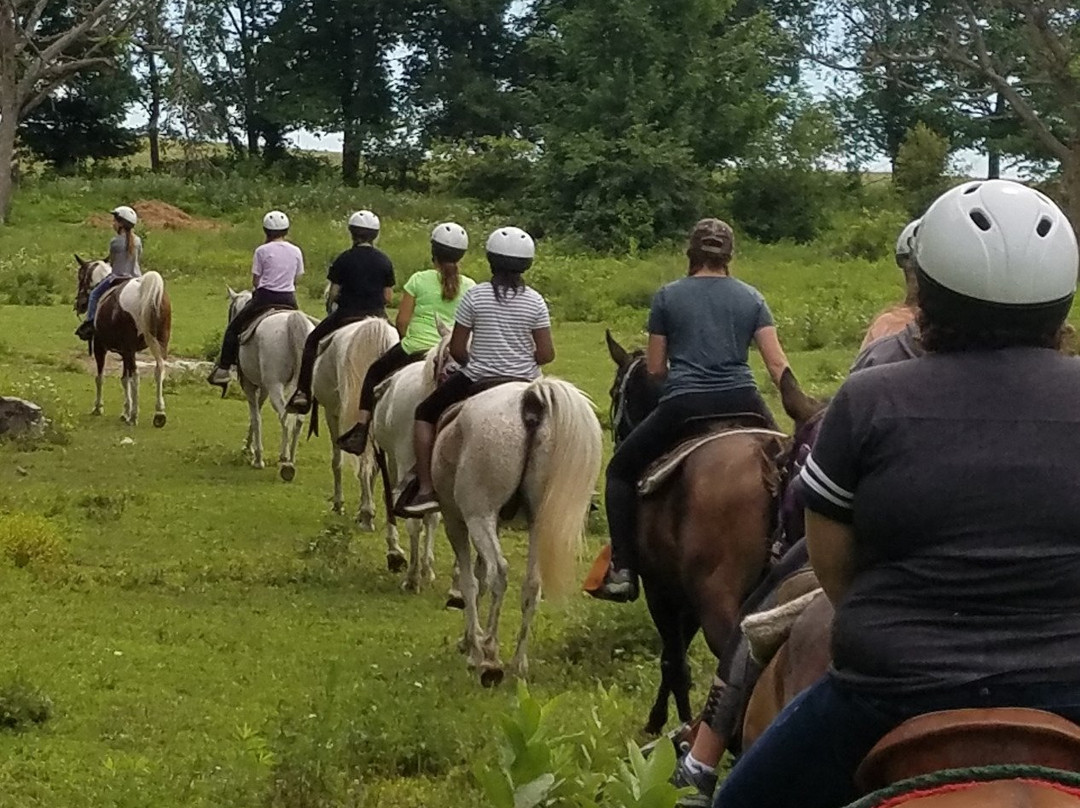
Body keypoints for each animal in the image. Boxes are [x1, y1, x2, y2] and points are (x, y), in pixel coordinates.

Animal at [75, 257, 171, 429]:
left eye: (81, 277)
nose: (79, 304)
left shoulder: (101, 347)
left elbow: (100, 377)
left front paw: (98, 407)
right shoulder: (125, 352)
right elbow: (124, 379)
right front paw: (125, 411)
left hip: (129, 349)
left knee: (136, 375)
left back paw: (134, 416)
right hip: (160, 344)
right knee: (159, 370)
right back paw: (159, 413)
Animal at [224, 289, 315, 479]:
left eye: (232, 310)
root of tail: (293, 319)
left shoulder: (249, 385)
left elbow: (255, 416)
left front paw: (257, 458)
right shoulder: (264, 387)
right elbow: (256, 412)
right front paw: (248, 447)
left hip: (275, 387)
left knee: (285, 418)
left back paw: (285, 461)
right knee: (298, 420)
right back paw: (291, 458)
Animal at [427, 375, 600, 687]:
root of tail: (531, 399)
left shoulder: (455, 520)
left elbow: (470, 582)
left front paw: (474, 646)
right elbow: (480, 577)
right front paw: (472, 640)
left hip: (478, 517)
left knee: (499, 572)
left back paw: (490, 658)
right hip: (536, 523)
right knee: (531, 584)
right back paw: (518, 663)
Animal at [600, 330, 816, 734]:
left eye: (614, 391)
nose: (618, 437)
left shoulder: (662, 591)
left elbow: (674, 662)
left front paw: (671, 725)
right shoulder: (686, 598)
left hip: (719, 599)